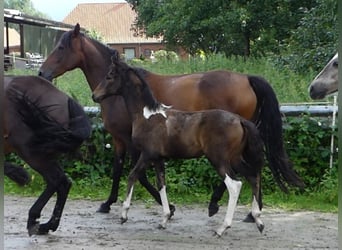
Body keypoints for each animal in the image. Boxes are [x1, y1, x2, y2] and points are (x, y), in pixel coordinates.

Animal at [4, 75, 92, 235]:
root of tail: (64, 98)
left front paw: (20, 175)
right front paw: (19, 174)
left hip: (32, 153)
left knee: (56, 180)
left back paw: (34, 220)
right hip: (46, 153)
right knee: (63, 182)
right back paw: (48, 225)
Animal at [38, 22, 304, 216]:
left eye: (61, 48)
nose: (42, 72)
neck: (124, 93)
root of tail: (246, 78)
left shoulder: (132, 141)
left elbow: (138, 173)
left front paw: (166, 205)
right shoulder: (120, 140)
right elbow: (118, 170)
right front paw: (108, 202)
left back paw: (217, 204)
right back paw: (251, 211)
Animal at [92, 60, 266, 236]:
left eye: (109, 76)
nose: (95, 95)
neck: (147, 115)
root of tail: (240, 120)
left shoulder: (147, 154)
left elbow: (132, 176)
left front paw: (124, 214)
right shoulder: (158, 158)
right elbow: (161, 184)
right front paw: (164, 219)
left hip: (219, 159)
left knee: (234, 184)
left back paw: (222, 227)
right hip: (235, 158)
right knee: (253, 176)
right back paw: (257, 219)